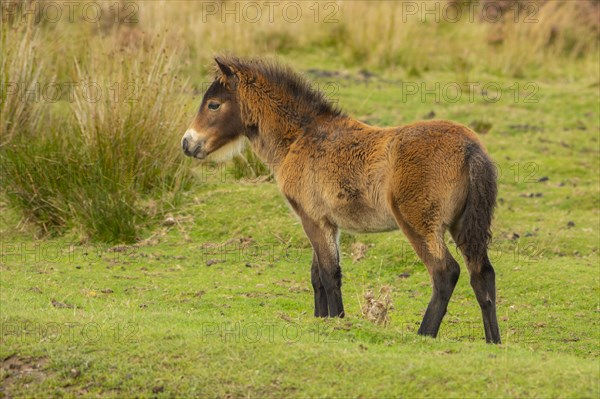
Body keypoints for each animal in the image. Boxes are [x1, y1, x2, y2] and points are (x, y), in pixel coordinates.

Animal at [182, 56, 502, 344]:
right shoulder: (325, 222)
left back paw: (424, 335)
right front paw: (321, 320)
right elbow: (317, 275)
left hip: (419, 223)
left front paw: (336, 322)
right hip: (463, 226)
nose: (187, 143)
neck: (300, 137)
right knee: (482, 274)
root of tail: (470, 148)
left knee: (445, 272)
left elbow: (328, 274)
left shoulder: (313, 219)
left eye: (214, 104)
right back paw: (493, 341)